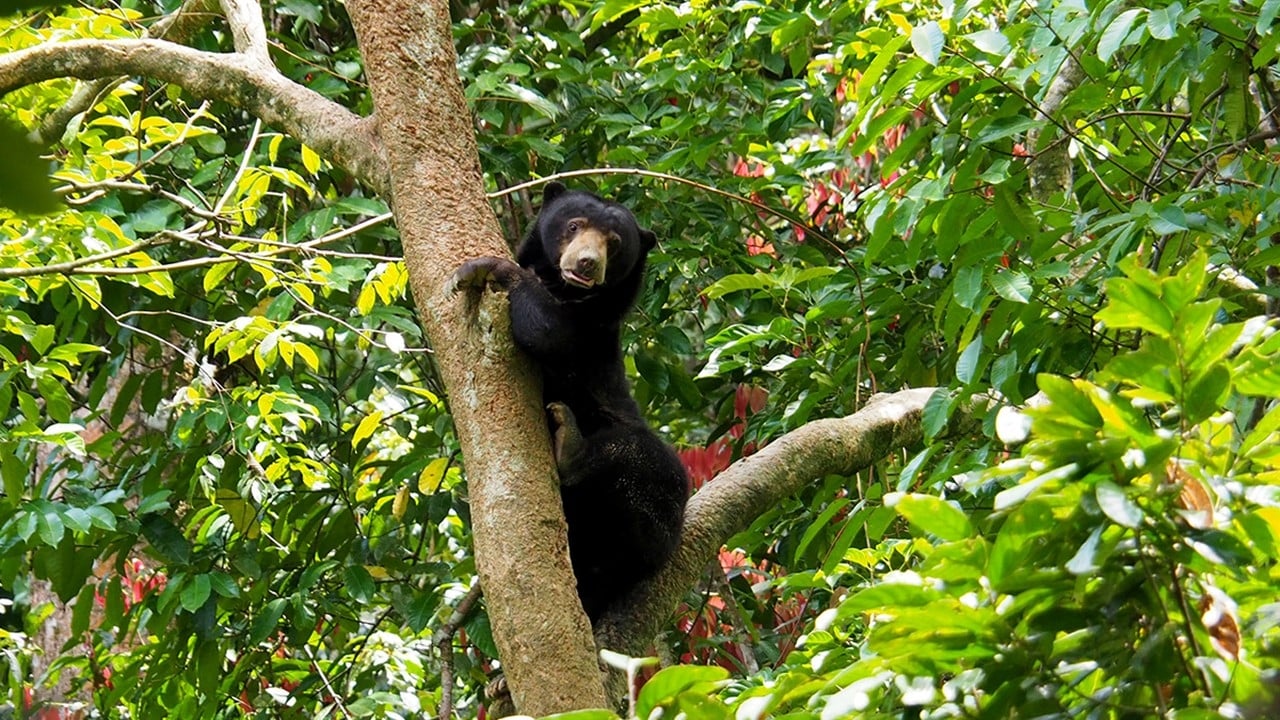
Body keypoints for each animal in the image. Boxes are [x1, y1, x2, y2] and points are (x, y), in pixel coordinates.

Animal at [453, 181, 691, 620]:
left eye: (614, 243)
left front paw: (490, 268)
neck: (563, 288)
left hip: (660, 509)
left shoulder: (592, 333)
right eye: (574, 225)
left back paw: (570, 446)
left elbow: (551, 332)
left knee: (646, 458)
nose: (586, 264)